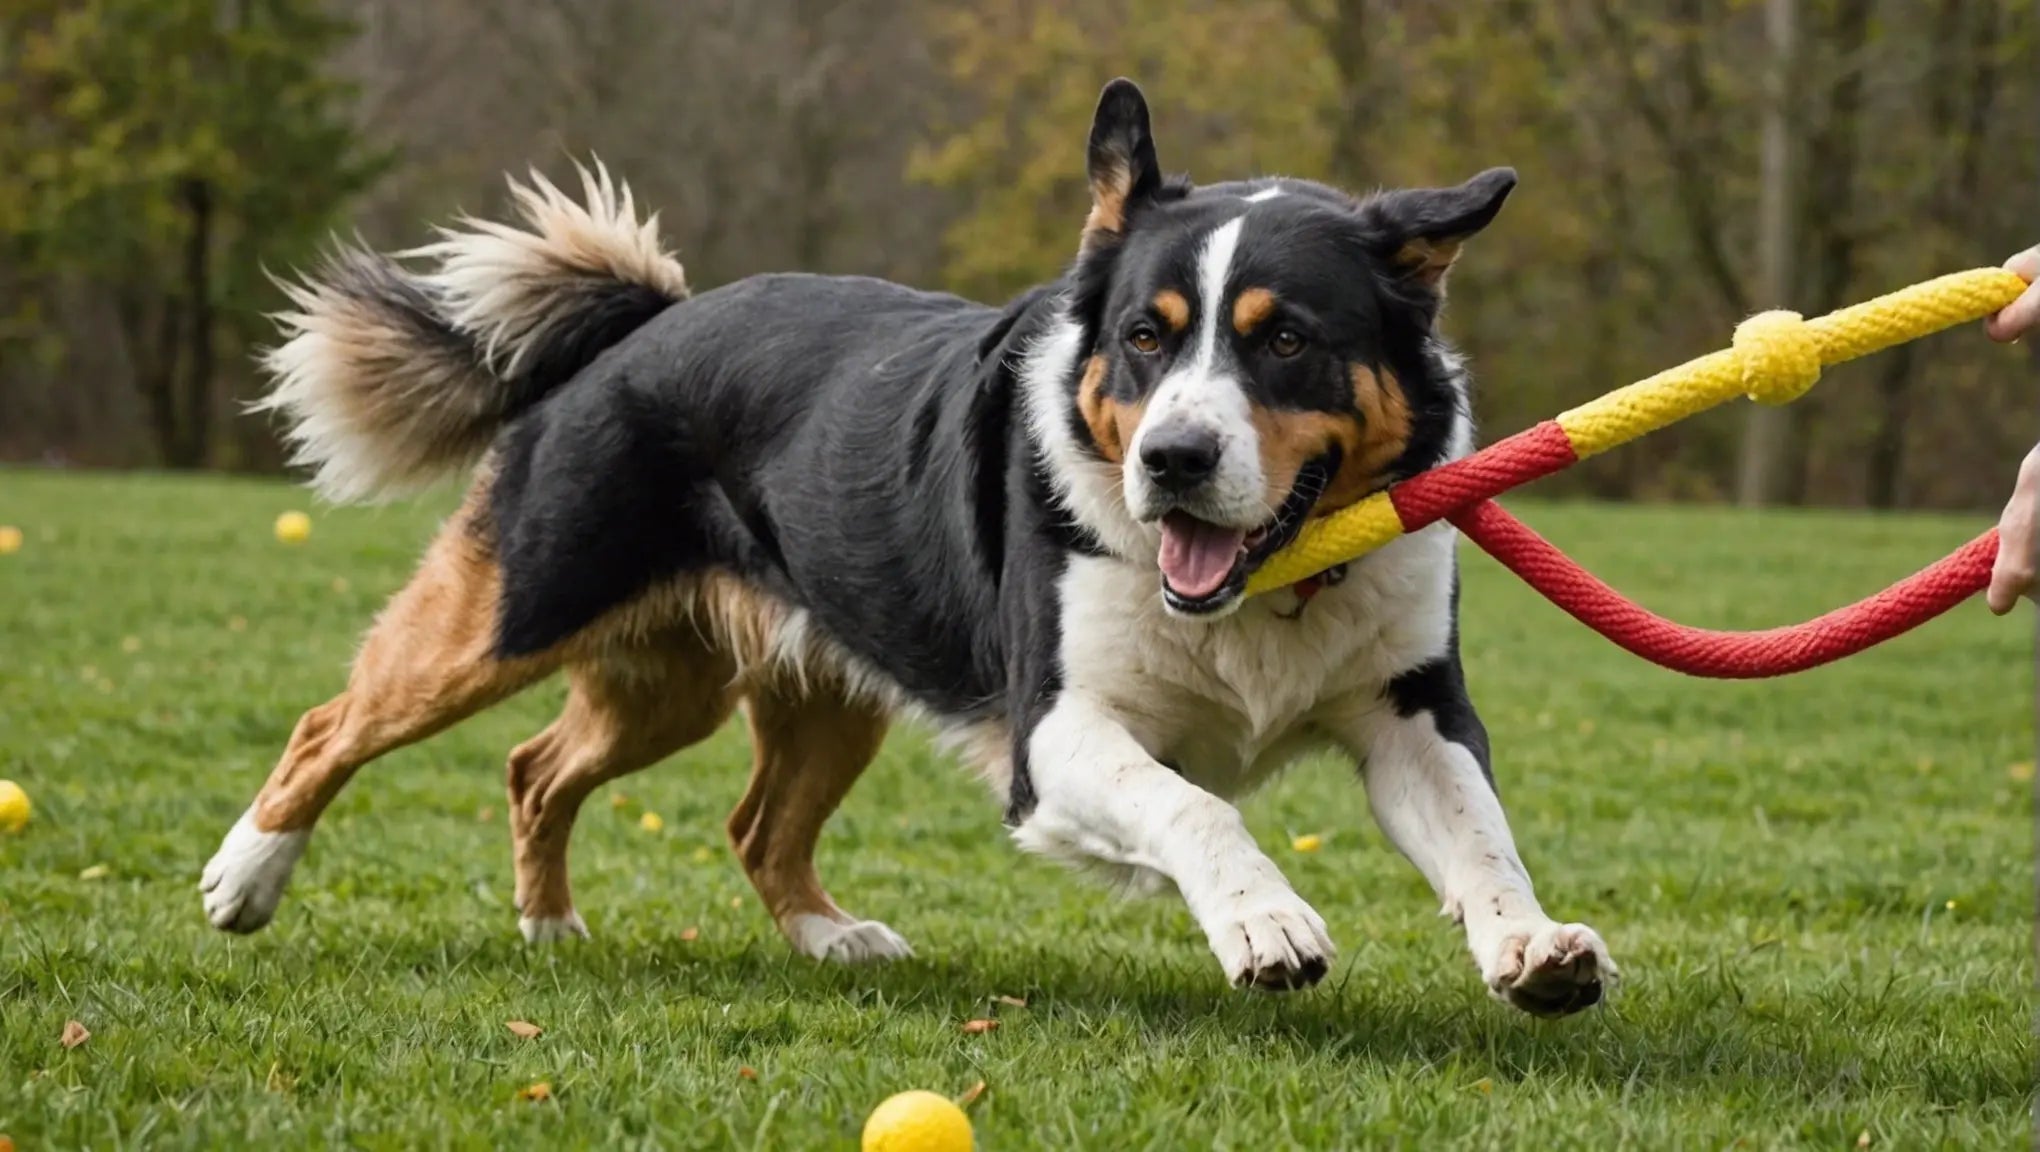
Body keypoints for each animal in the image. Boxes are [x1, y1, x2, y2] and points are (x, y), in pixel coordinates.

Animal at [202, 78, 1607, 1015]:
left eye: (1288, 341)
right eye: (1145, 339)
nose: (1171, 461)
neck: (1262, 594)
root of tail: (637, 326)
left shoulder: (1410, 711)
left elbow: (1481, 835)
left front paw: (1530, 945)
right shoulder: (1055, 734)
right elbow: (1192, 804)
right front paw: (1261, 921)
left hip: (727, 683)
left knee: (608, 787)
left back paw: (651, 932)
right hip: (519, 607)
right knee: (338, 727)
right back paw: (243, 880)